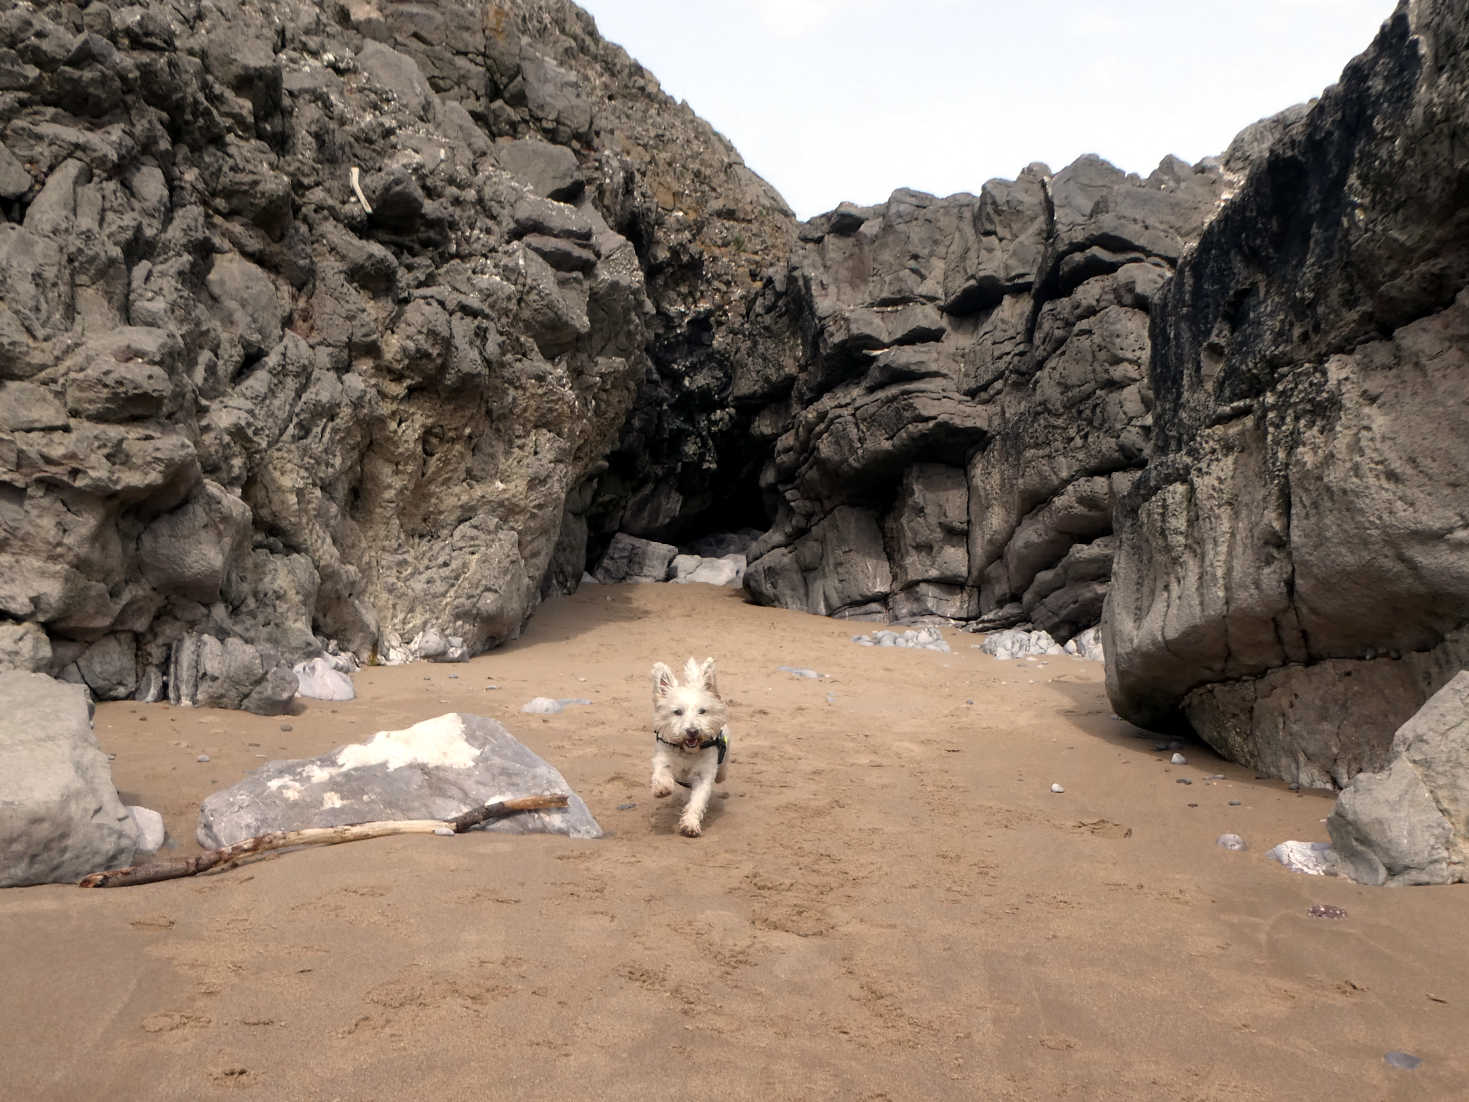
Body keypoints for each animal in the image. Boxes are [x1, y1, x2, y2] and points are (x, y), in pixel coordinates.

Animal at [649, 661, 728, 840]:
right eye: (677, 712)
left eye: (702, 711)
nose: (693, 731)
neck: (687, 751)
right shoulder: (663, 756)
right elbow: (662, 771)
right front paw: (662, 788)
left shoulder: (704, 775)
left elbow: (697, 801)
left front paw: (690, 824)